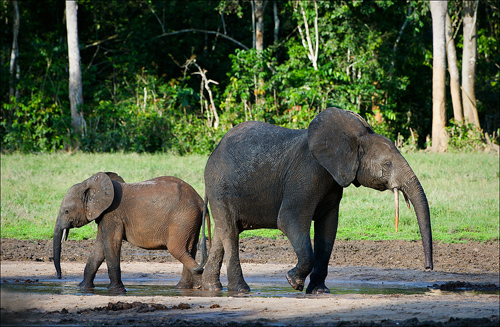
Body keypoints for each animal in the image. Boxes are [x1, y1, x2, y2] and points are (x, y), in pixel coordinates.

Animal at [53, 173, 210, 294]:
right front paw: (83, 288)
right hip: (190, 221)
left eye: (66, 211)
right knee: (189, 250)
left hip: (183, 218)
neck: (90, 183)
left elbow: (111, 244)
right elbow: (99, 249)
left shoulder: (112, 214)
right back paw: (182, 288)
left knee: (177, 249)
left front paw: (116, 291)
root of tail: (200, 200)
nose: (59, 277)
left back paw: (201, 286)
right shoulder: (103, 215)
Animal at [201, 107, 432, 294]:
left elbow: (328, 229)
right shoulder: (306, 174)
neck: (354, 137)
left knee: (222, 233)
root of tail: (214, 151)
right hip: (219, 185)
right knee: (230, 232)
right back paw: (240, 290)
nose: (428, 268)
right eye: (387, 164)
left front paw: (319, 291)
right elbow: (289, 220)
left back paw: (212, 288)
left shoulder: (332, 183)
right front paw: (293, 282)